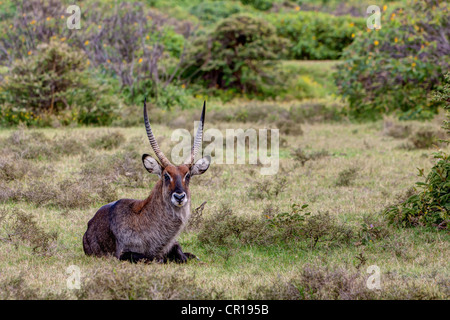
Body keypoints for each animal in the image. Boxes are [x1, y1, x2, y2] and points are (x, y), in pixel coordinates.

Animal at [83, 100, 211, 262]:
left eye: (187, 175)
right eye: (166, 175)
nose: (179, 196)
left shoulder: (174, 245)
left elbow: (183, 255)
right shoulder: (124, 254)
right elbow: (154, 258)